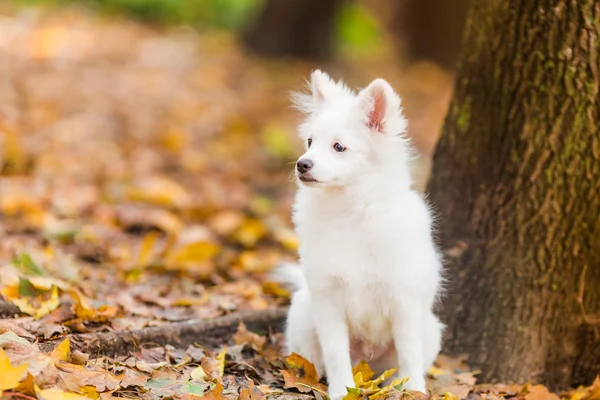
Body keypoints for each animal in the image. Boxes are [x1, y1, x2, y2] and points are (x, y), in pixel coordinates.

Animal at [278, 70, 446, 398]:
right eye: (309, 142)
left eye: (338, 147)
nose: (302, 164)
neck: (350, 209)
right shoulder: (327, 299)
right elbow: (335, 353)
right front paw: (341, 391)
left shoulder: (404, 300)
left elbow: (409, 352)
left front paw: (414, 391)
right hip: (303, 313)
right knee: (312, 359)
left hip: (430, 329)